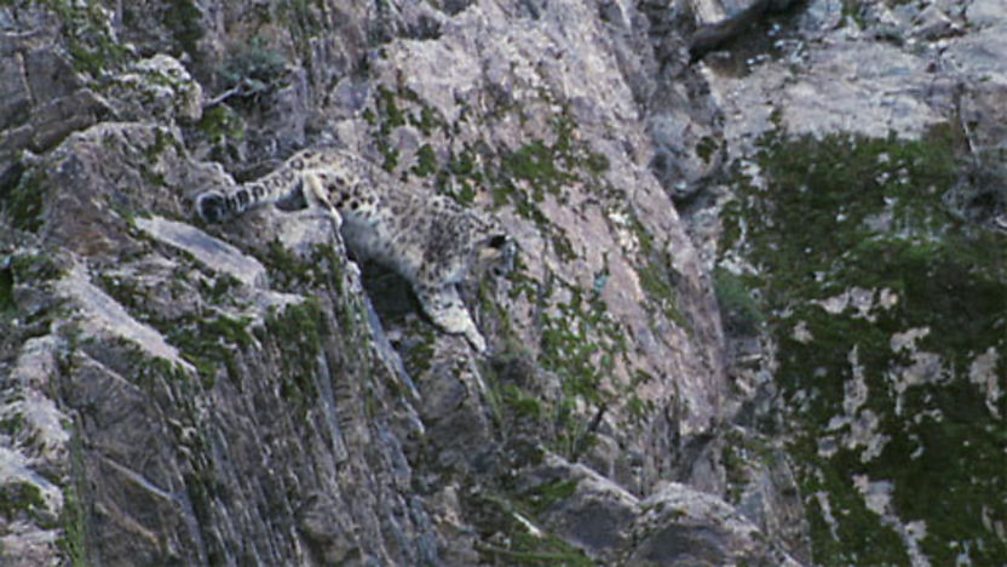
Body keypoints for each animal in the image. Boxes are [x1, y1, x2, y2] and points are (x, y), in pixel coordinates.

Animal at [195, 148, 516, 353]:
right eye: (510, 254)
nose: (508, 272)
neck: (468, 255)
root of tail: (316, 149)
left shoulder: (445, 281)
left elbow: (457, 304)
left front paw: (477, 337)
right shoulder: (433, 274)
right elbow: (443, 306)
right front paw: (458, 325)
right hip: (362, 196)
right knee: (317, 179)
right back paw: (329, 210)